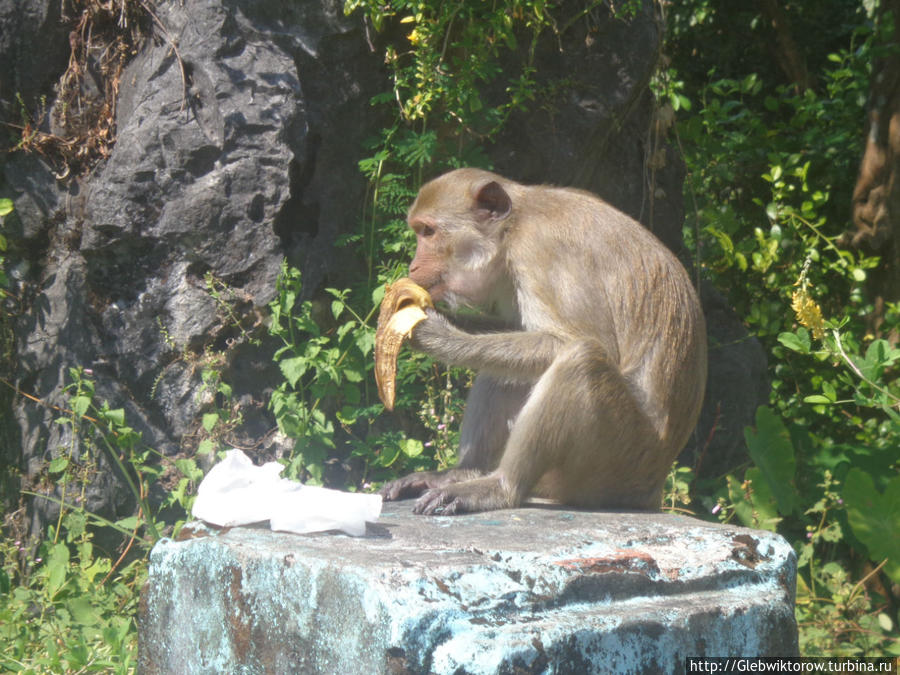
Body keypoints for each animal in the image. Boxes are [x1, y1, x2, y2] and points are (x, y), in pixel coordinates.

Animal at [376, 169, 708, 516]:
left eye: (428, 231)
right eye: (418, 231)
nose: (413, 266)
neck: (515, 227)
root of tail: (652, 489)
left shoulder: (541, 252)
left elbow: (579, 340)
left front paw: (437, 334)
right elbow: (514, 331)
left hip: (618, 461)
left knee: (581, 359)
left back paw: (500, 487)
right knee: (504, 370)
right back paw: (461, 473)